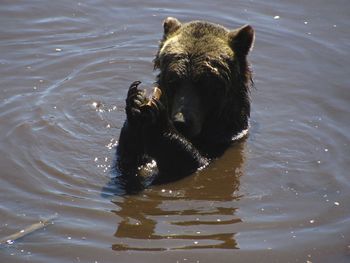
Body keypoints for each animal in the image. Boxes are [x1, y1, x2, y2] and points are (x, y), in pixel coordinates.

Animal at [117, 17, 254, 193]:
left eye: (205, 84)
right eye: (173, 80)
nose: (180, 122)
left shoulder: (224, 142)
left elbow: (192, 162)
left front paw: (159, 121)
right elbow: (128, 161)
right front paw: (135, 99)